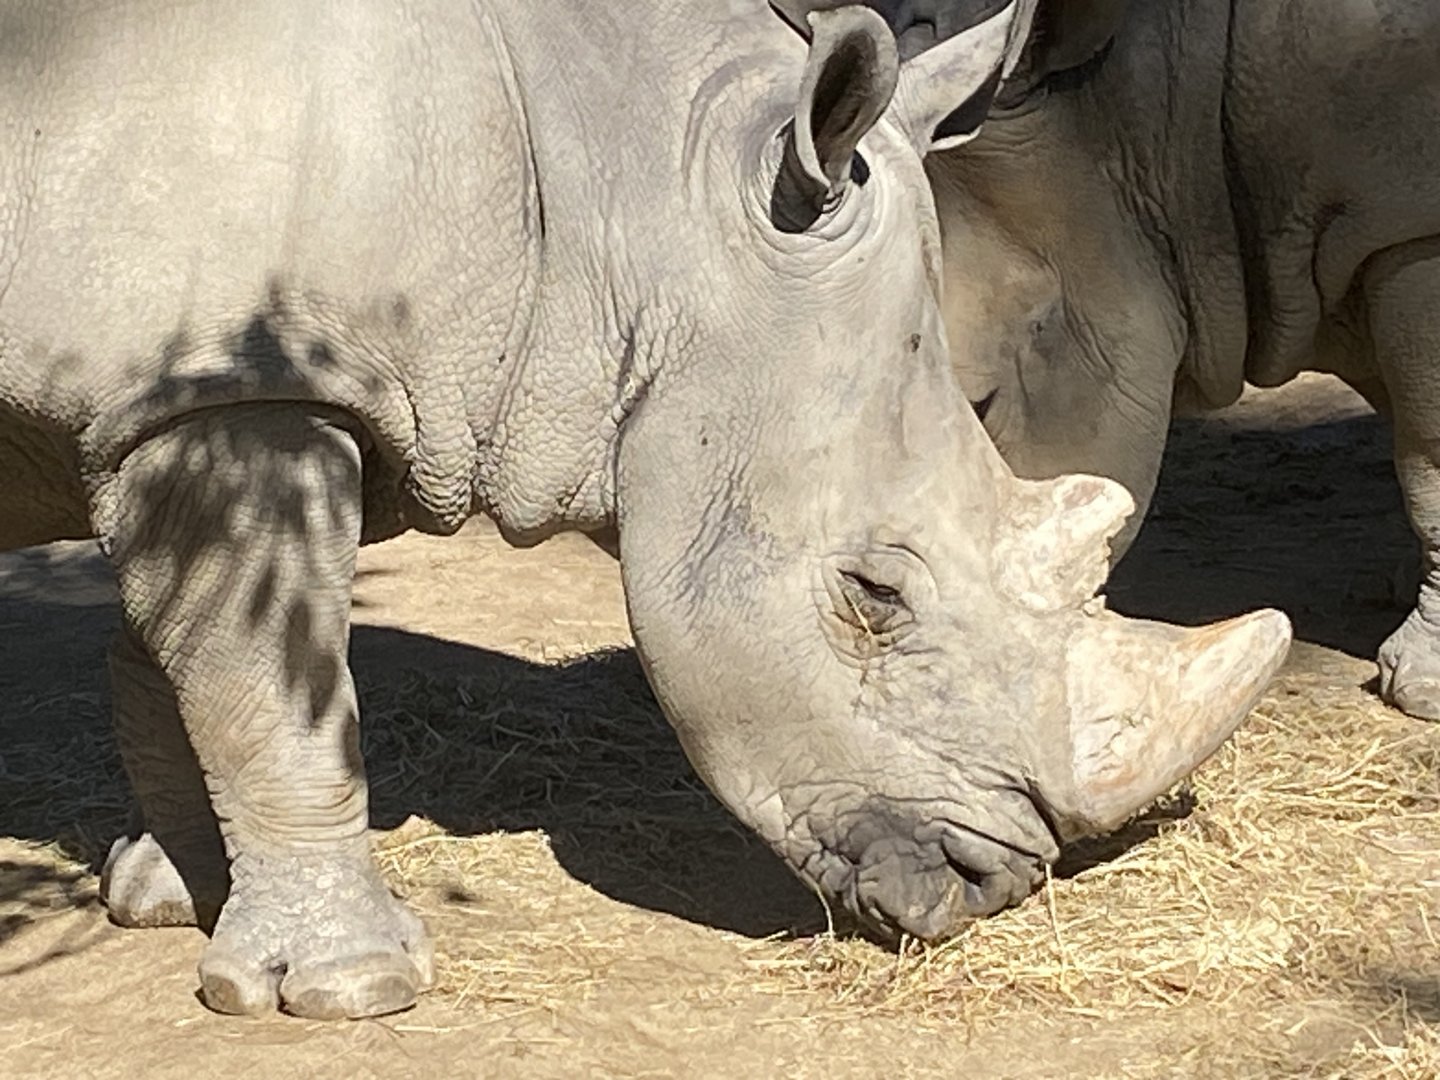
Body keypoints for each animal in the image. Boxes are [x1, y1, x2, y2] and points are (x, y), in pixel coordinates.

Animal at [0, 0, 1289, 1019]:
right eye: (873, 595)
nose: (995, 889)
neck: (623, 197)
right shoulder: (228, 387)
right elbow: (273, 683)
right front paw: (353, 990)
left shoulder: (208, 391)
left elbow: (178, 661)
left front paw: (176, 897)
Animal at [916, 0, 1440, 717]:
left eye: (981, 404)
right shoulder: (1364, 236)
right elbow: (1404, 417)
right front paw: (1394, 583)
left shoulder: (1412, 227)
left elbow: (1426, 446)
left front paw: (1420, 685)